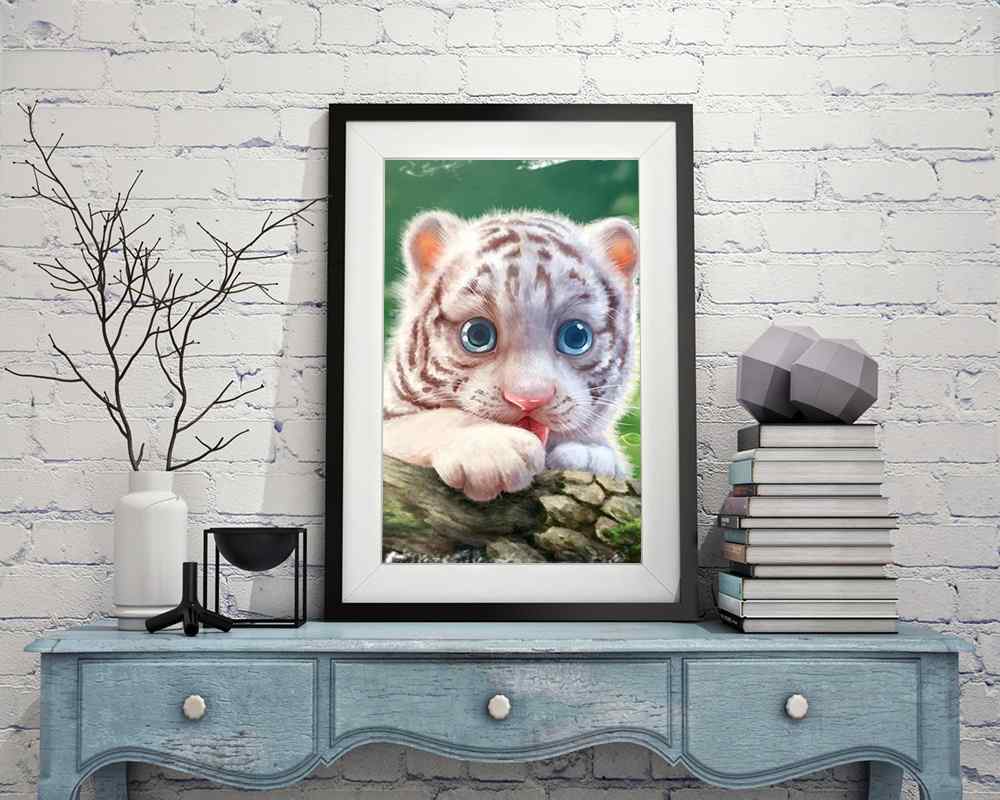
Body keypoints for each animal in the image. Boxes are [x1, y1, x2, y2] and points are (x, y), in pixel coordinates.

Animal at [382, 210, 639, 503]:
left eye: (576, 337)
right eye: (478, 335)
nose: (529, 400)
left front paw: (589, 453)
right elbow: (426, 421)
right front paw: (490, 449)